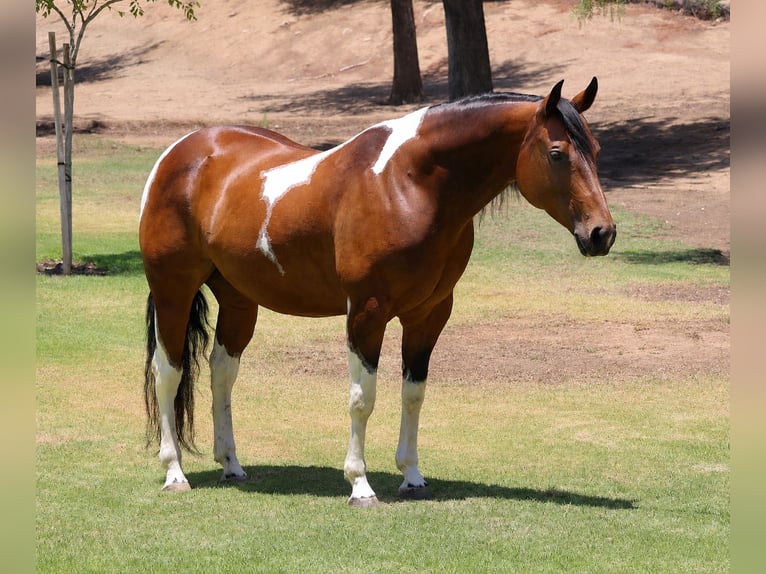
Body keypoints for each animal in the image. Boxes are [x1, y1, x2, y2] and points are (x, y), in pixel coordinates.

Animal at [139, 78, 616, 507]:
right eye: (557, 153)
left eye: (595, 150)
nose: (602, 233)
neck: (409, 185)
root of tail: (179, 153)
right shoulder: (366, 313)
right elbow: (362, 398)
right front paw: (360, 485)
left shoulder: (428, 315)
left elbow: (413, 393)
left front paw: (412, 477)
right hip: (173, 291)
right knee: (168, 372)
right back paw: (174, 473)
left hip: (240, 301)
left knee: (222, 372)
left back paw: (232, 465)